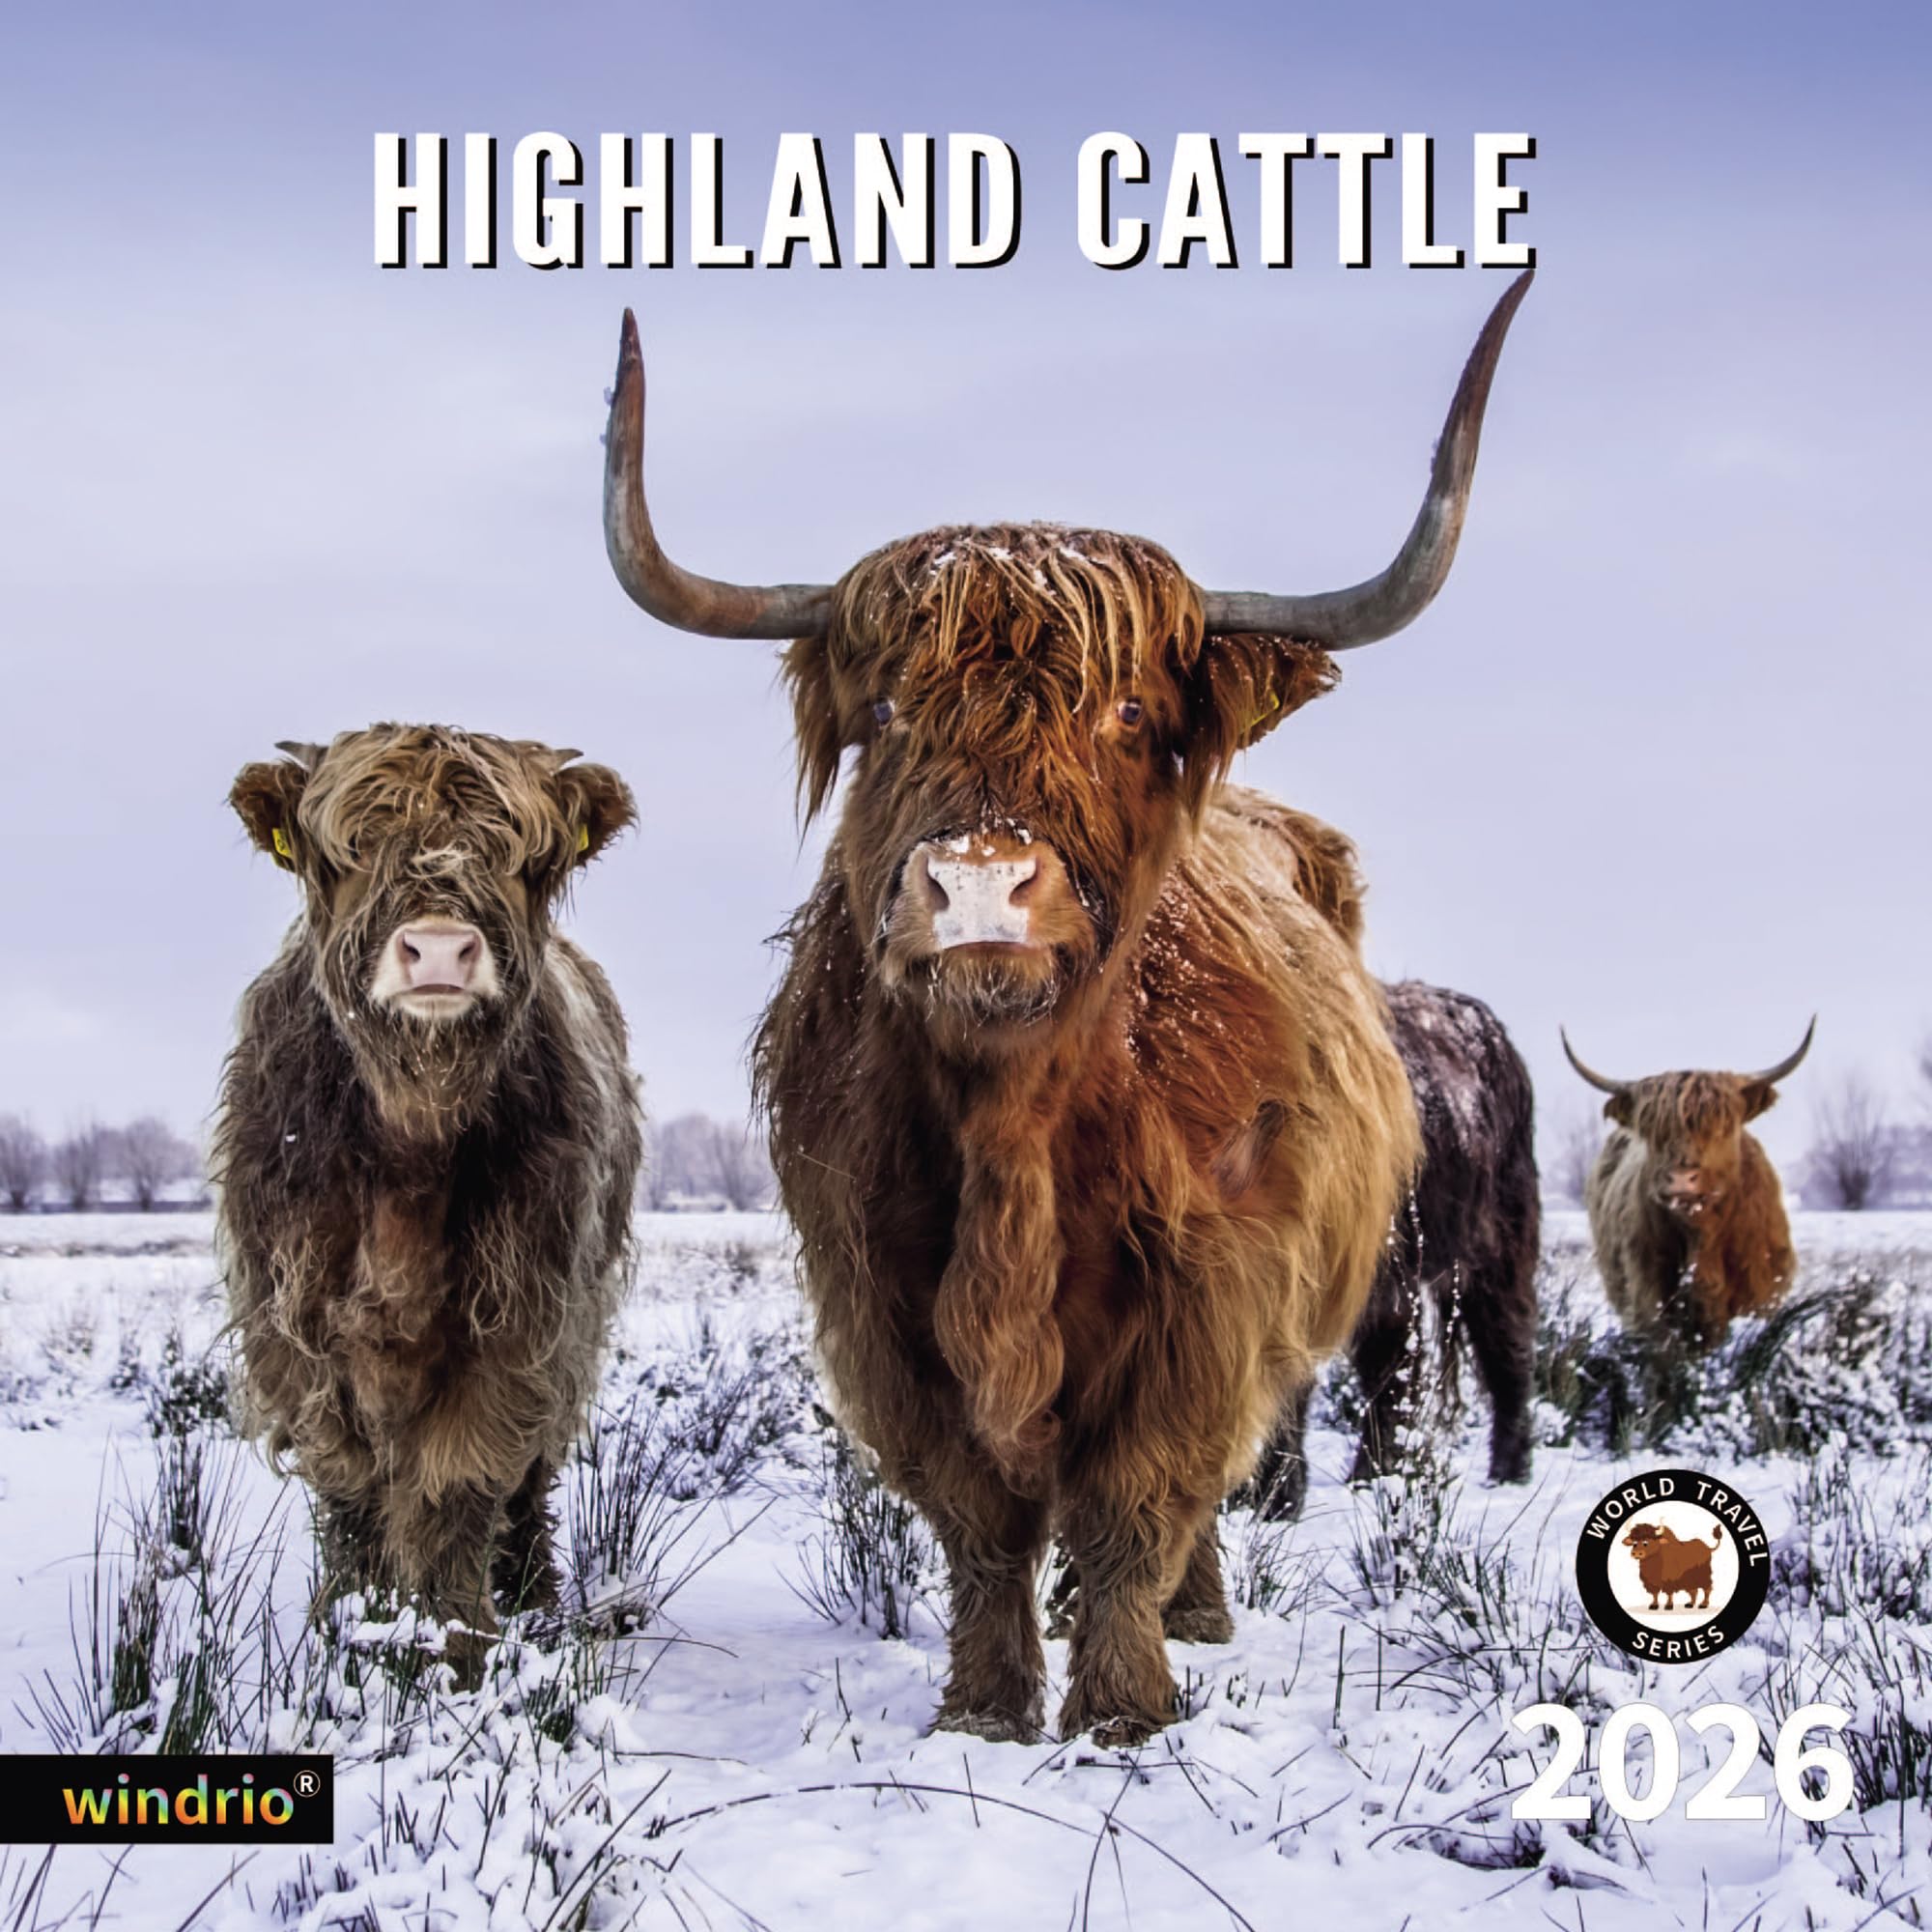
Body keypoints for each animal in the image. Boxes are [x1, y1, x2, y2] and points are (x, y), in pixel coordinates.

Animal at [212, 725, 643, 1681]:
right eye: (350, 850)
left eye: (522, 858)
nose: (440, 951)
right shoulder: (295, 1335)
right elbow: (351, 1496)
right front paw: (354, 1632)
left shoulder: (520, 1328)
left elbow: (458, 1488)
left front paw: (457, 1648)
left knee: (529, 1484)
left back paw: (534, 1598)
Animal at [1563, 1022, 1813, 1351]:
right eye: (1652, 1129)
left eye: (1723, 1126)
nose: (1682, 1178)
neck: (1703, 1238)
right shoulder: (1651, 1304)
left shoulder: (1758, 1297)